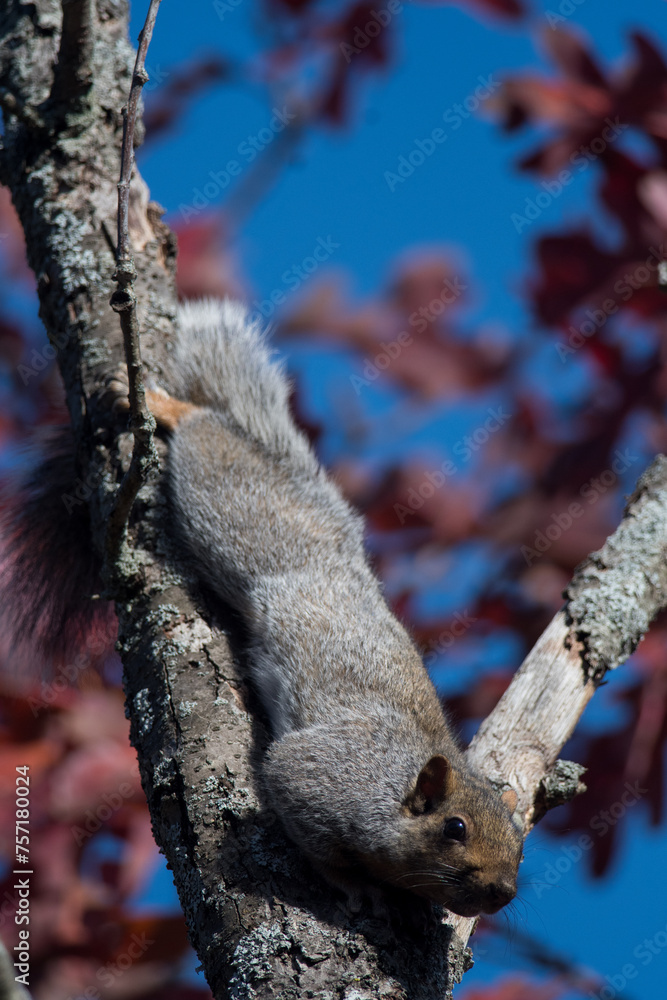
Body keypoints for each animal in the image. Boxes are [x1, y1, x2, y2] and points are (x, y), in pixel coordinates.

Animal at [1, 300, 520, 916]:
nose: (503, 892)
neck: (398, 780)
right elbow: (311, 828)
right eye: (455, 828)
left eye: (519, 841)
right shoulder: (321, 779)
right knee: (204, 429)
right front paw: (356, 886)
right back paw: (165, 408)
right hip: (232, 510)